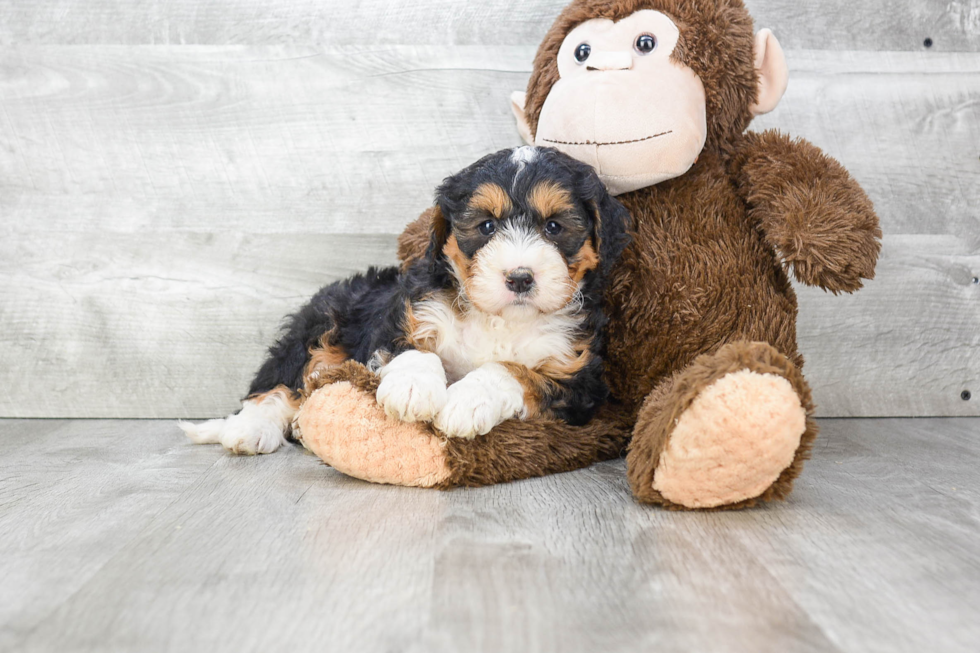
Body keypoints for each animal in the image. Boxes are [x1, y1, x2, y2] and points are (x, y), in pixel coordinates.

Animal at [181, 147, 632, 454]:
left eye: (554, 227)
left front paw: (468, 400)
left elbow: (514, 371)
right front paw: (413, 389)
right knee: (280, 380)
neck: (499, 317)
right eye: (486, 227)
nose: (520, 278)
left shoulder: (576, 378)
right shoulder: (401, 319)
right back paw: (250, 429)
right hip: (322, 322)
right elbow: (412, 350)